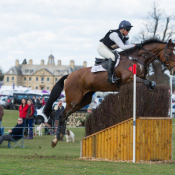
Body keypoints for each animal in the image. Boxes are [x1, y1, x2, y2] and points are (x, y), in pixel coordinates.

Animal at [43, 38, 175, 148]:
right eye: (170, 53)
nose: (173, 70)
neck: (138, 58)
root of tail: (69, 75)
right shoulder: (130, 80)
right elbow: (147, 82)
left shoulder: (141, 78)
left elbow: (152, 83)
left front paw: (151, 91)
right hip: (74, 100)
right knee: (62, 116)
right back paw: (55, 140)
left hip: (84, 100)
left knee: (66, 115)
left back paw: (59, 137)